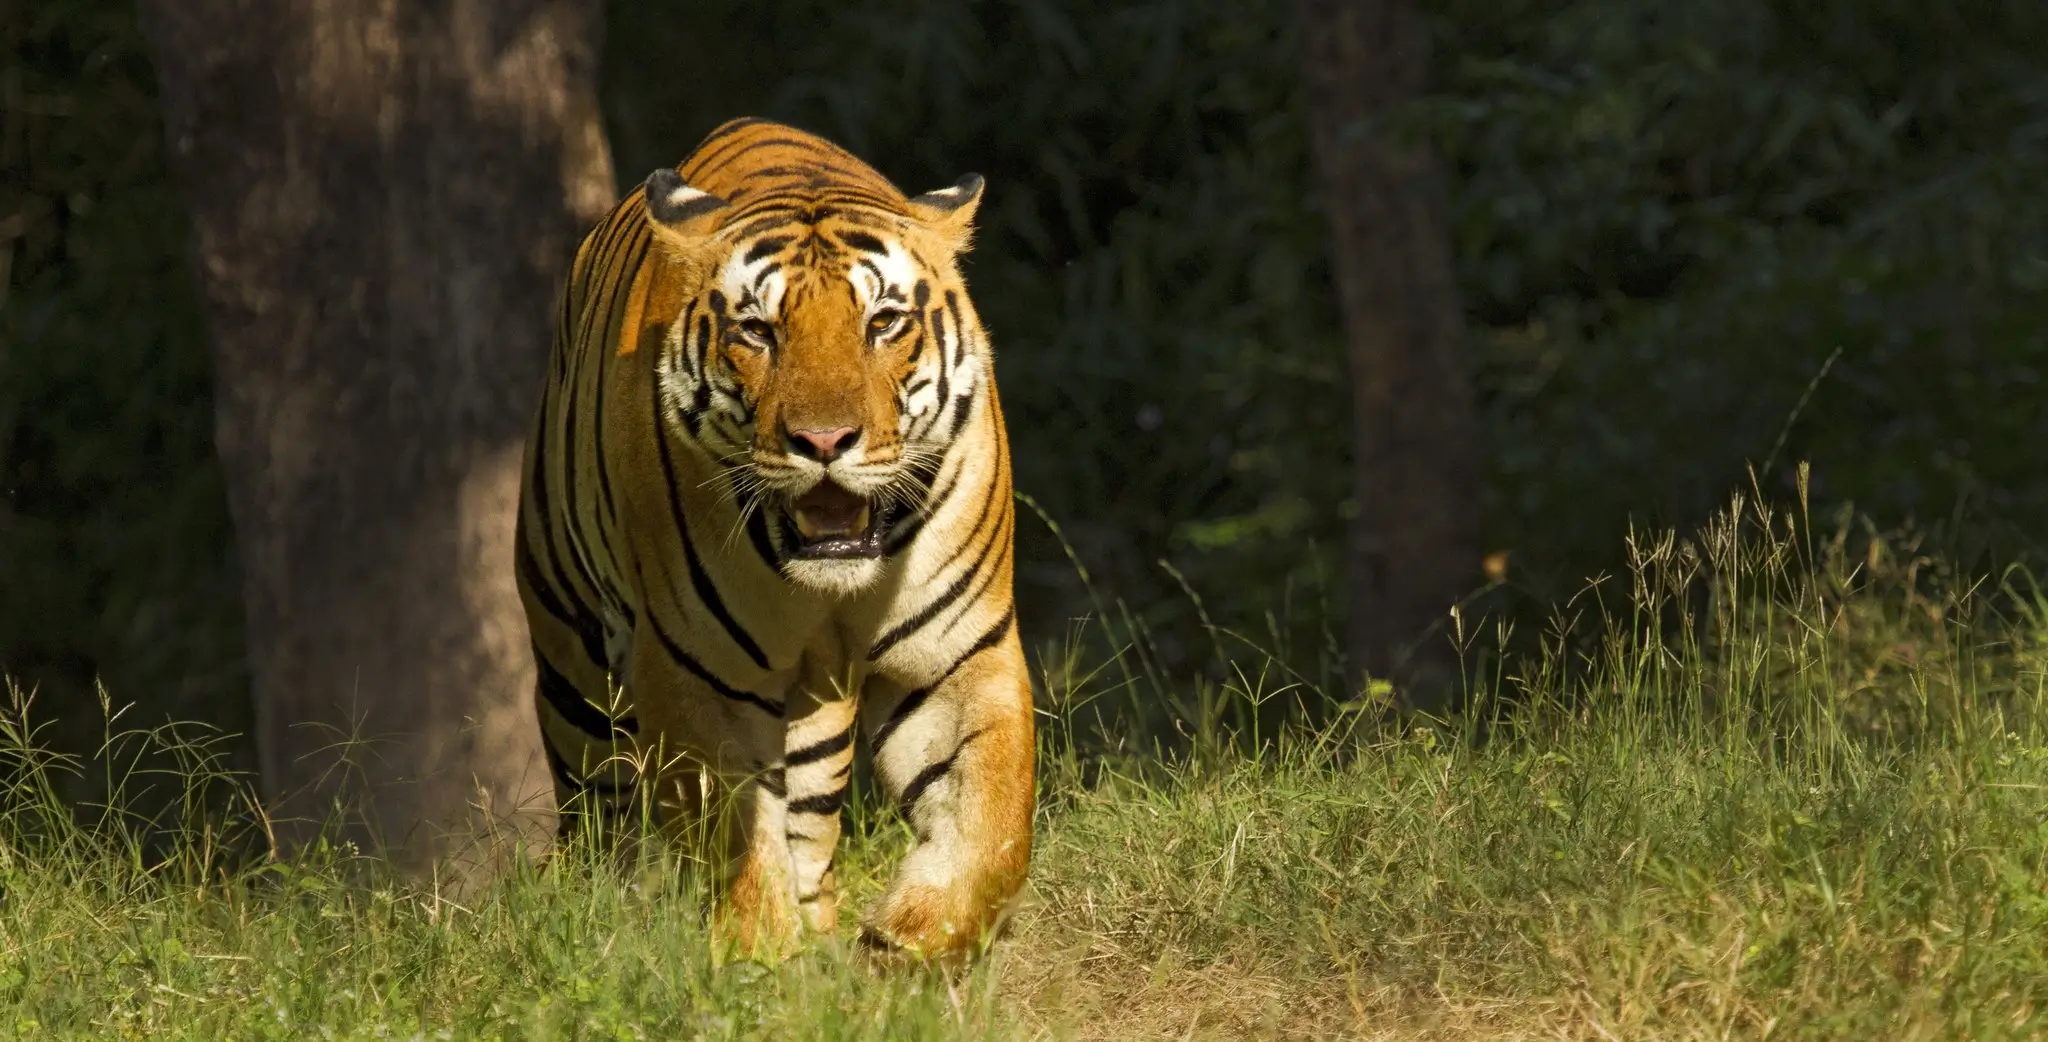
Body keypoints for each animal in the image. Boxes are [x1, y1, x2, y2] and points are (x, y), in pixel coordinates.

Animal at [513, 117, 1033, 959]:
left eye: (883, 323)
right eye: (757, 332)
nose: (823, 441)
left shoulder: (957, 651)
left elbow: (992, 825)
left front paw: (905, 947)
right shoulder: (700, 671)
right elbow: (737, 840)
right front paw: (761, 961)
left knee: (809, 820)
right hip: (572, 659)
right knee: (598, 814)